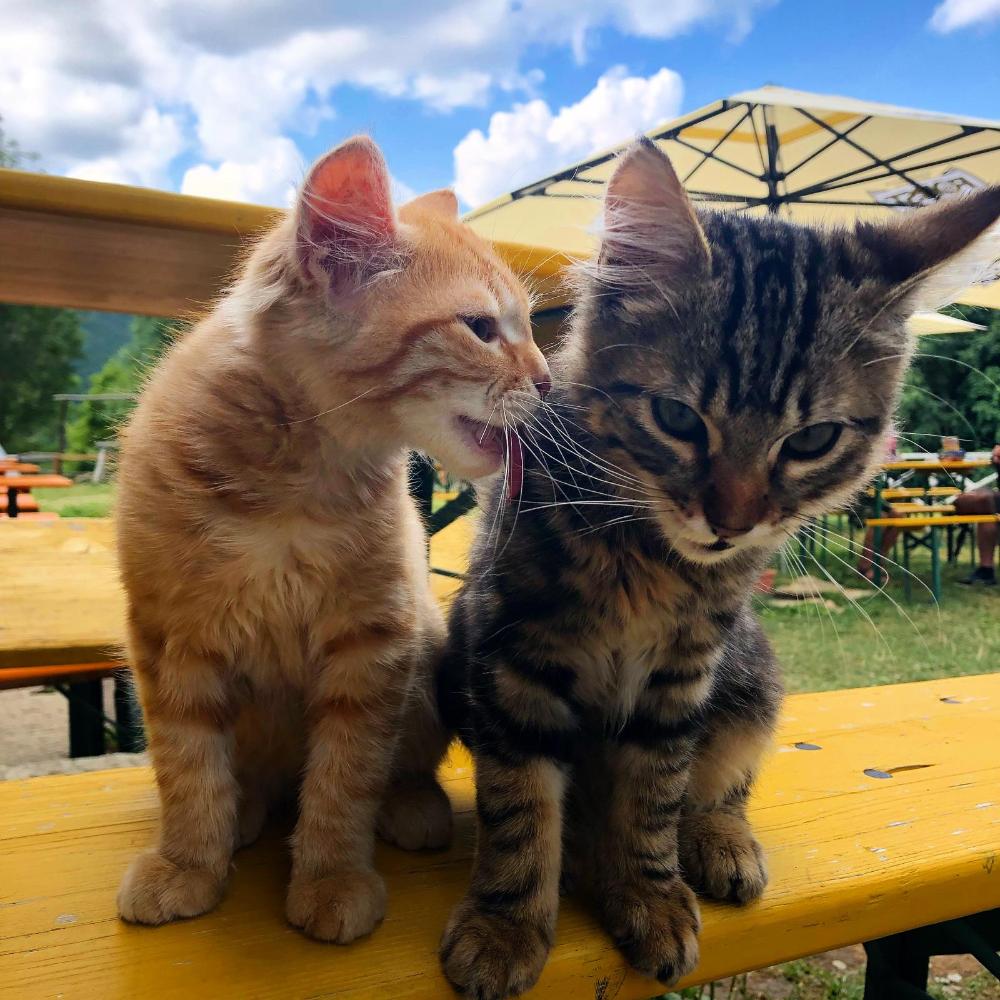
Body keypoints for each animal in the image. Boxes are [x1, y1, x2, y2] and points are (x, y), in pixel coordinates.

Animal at [119, 137, 556, 940]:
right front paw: (188, 861)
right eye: (482, 328)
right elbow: (187, 765)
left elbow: (345, 775)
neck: (290, 484)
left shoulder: (372, 642)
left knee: (397, 765)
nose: (546, 383)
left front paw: (330, 876)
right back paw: (244, 811)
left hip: (428, 655)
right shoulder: (170, 639)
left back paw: (410, 805)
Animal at [432, 137, 1000, 996]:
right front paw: (505, 924)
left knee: (721, 786)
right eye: (676, 419)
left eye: (811, 440)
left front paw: (649, 893)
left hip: (752, 674)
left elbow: (656, 793)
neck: (648, 559)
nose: (731, 522)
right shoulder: (513, 656)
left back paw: (717, 843)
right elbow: (520, 808)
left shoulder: (683, 675)